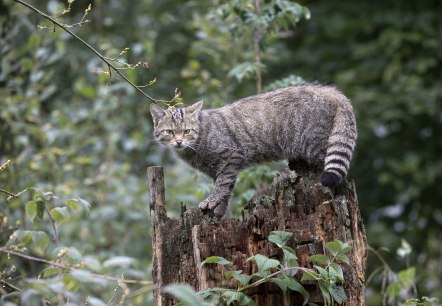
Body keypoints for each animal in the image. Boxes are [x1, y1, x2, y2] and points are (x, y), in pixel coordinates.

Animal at [150, 84, 358, 215]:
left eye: (186, 131)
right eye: (169, 132)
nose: (178, 142)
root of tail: (333, 92)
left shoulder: (231, 157)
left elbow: (222, 184)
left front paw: (212, 201)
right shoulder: (220, 167)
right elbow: (227, 187)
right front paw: (219, 209)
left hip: (313, 144)